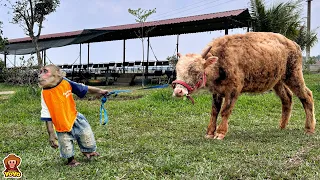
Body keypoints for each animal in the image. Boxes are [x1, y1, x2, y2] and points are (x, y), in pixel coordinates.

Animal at [172, 31, 316, 140]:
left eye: (195, 71)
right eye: (177, 70)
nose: (178, 91)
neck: (220, 62)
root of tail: (293, 44)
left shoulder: (233, 90)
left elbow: (225, 110)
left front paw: (220, 133)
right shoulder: (217, 92)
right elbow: (214, 111)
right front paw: (209, 132)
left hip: (294, 75)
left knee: (306, 96)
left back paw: (309, 128)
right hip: (278, 81)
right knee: (287, 98)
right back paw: (282, 126)